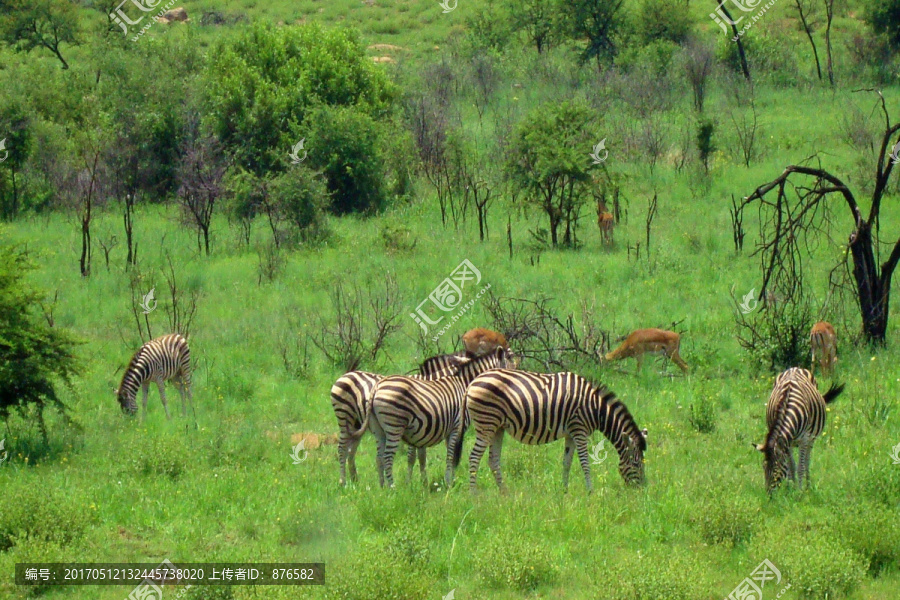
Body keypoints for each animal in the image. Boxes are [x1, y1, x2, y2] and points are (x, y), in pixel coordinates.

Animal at [332, 352, 472, 488]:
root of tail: (347, 374)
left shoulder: (424, 430)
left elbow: (422, 457)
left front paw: (424, 483)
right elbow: (412, 457)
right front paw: (410, 483)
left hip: (356, 426)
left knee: (351, 451)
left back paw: (355, 481)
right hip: (345, 417)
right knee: (342, 449)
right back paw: (343, 482)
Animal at [358, 346, 512, 488]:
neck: (465, 385)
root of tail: (377, 386)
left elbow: (433, 456)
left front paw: (438, 482)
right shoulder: (456, 427)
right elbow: (451, 455)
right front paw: (448, 482)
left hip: (379, 430)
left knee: (379, 458)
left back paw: (382, 488)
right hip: (394, 426)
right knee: (387, 457)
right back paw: (392, 488)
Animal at [464, 370, 648, 492]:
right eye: (636, 464)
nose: (642, 491)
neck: (596, 408)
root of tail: (472, 382)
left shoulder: (571, 434)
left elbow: (566, 463)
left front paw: (564, 491)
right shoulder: (579, 430)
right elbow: (585, 463)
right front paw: (590, 492)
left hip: (498, 427)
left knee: (493, 460)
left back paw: (505, 494)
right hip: (486, 424)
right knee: (474, 457)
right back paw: (474, 495)